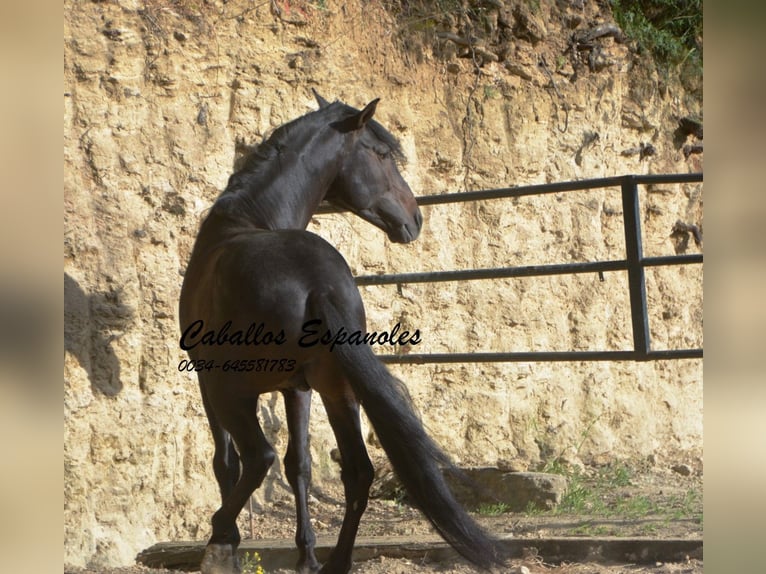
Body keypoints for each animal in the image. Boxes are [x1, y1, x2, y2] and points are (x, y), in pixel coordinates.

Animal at [178, 92, 504, 572]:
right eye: (382, 154)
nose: (415, 218)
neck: (244, 219)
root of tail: (318, 282)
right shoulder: (297, 389)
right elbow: (300, 465)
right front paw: (306, 555)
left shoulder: (207, 381)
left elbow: (228, 463)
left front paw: (231, 547)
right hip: (336, 389)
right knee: (357, 470)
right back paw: (335, 562)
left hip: (232, 389)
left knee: (257, 457)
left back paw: (219, 541)